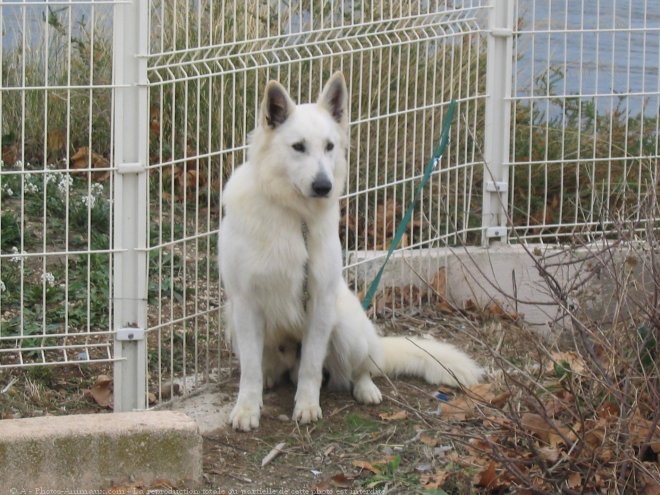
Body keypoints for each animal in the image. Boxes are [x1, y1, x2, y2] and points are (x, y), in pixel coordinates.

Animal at [219, 71, 482, 432]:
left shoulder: (319, 304)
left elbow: (311, 367)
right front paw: (247, 408)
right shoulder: (246, 305)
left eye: (330, 146)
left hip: (345, 327)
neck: (293, 216)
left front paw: (307, 406)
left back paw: (365, 389)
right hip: (234, 321)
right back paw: (271, 379)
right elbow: (250, 370)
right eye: (298, 147)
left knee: (358, 370)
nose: (323, 186)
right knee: (270, 367)